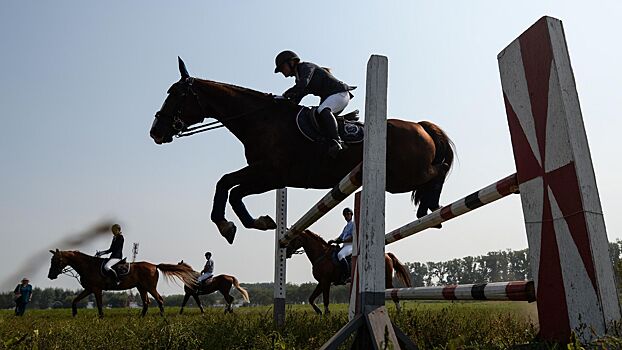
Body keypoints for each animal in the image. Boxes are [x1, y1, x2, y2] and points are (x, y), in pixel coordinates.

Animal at [47, 249, 196, 318]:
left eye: (56, 260)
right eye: (51, 260)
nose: (50, 276)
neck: (88, 266)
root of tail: (154, 265)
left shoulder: (96, 289)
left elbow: (99, 305)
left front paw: (101, 318)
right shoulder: (89, 289)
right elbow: (74, 300)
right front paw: (74, 314)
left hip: (149, 287)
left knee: (159, 299)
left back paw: (162, 317)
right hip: (141, 287)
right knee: (146, 302)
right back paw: (140, 318)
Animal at [149, 57, 456, 245]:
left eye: (177, 94)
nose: (156, 132)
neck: (260, 119)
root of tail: (421, 126)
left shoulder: (270, 173)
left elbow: (228, 185)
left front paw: (230, 224)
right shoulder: (270, 176)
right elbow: (230, 188)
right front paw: (253, 223)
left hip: (403, 176)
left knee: (438, 171)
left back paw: (431, 207)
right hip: (395, 180)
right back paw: (429, 211)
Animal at [284, 230, 412, 314]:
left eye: (294, 239)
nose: (287, 252)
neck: (321, 255)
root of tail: (387, 254)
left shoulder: (326, 281)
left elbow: (326, 300)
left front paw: (326, 315)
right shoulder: (322, 282)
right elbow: (311, 298)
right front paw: (319, 311)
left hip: (386, 279)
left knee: (393, 292)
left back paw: (399, 312)